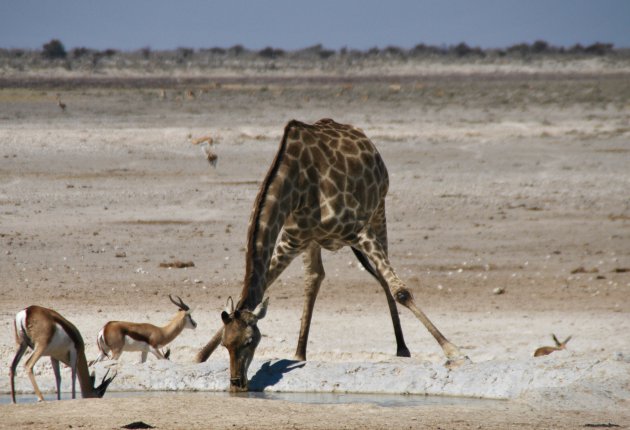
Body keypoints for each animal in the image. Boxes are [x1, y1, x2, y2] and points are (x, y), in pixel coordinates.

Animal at [198, 119, 470, 392]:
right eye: (226, 344)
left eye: (249, 341)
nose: (237, 384)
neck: (297, 187)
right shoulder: (292, 241)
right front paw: (200, 355)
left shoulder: (358, 230)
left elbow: (400, 290)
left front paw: (454, 352)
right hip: (314, 241)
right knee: (314, 278)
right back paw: (299, 353)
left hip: (378, 210)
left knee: (384, 280)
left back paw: (402, 348)